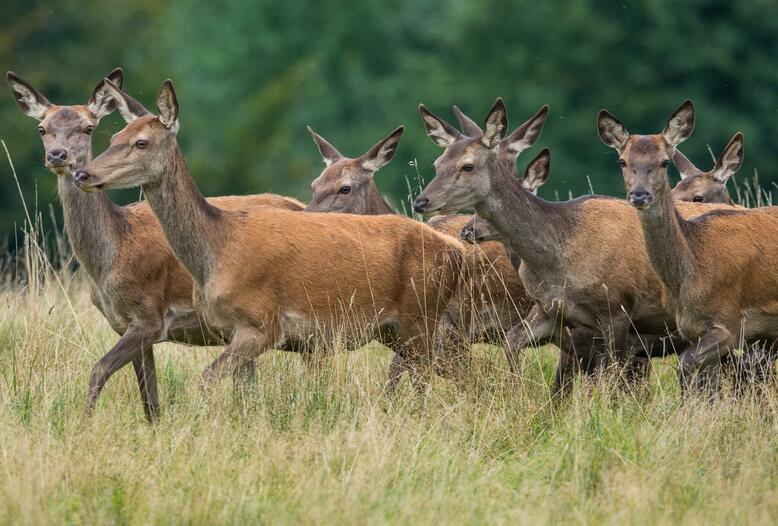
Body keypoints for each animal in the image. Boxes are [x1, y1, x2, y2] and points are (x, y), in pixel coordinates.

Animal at [6, 71, 304, 424]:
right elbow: (150, 398)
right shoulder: (124, 324)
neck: (110, 258)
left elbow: (99, 370)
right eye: (42, 128)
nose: (58, 156)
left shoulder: (150, 315)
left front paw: (82, 424)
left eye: (88, 127)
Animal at [73, 78, 464, 396]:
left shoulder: (262, 323)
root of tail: (454, 251)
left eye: (141, 142)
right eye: (112, 136)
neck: (217, 249)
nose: (83, 173)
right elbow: (244, 393)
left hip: (422, 318)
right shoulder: (231, 330)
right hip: (399, 329)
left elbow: (207, 381)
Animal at [410, 101, 732, 394]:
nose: (421, 201)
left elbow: (608, 382)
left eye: (468, 165)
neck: (561, 253)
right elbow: (516, 348)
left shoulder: (616, 310)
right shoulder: (551, 311)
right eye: (437, 164)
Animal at [600, 101, 776, 396]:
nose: (639, 195)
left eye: (664, 162)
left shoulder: (729, 324)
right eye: (623, 161)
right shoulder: (691, 330)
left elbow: (687, 368)